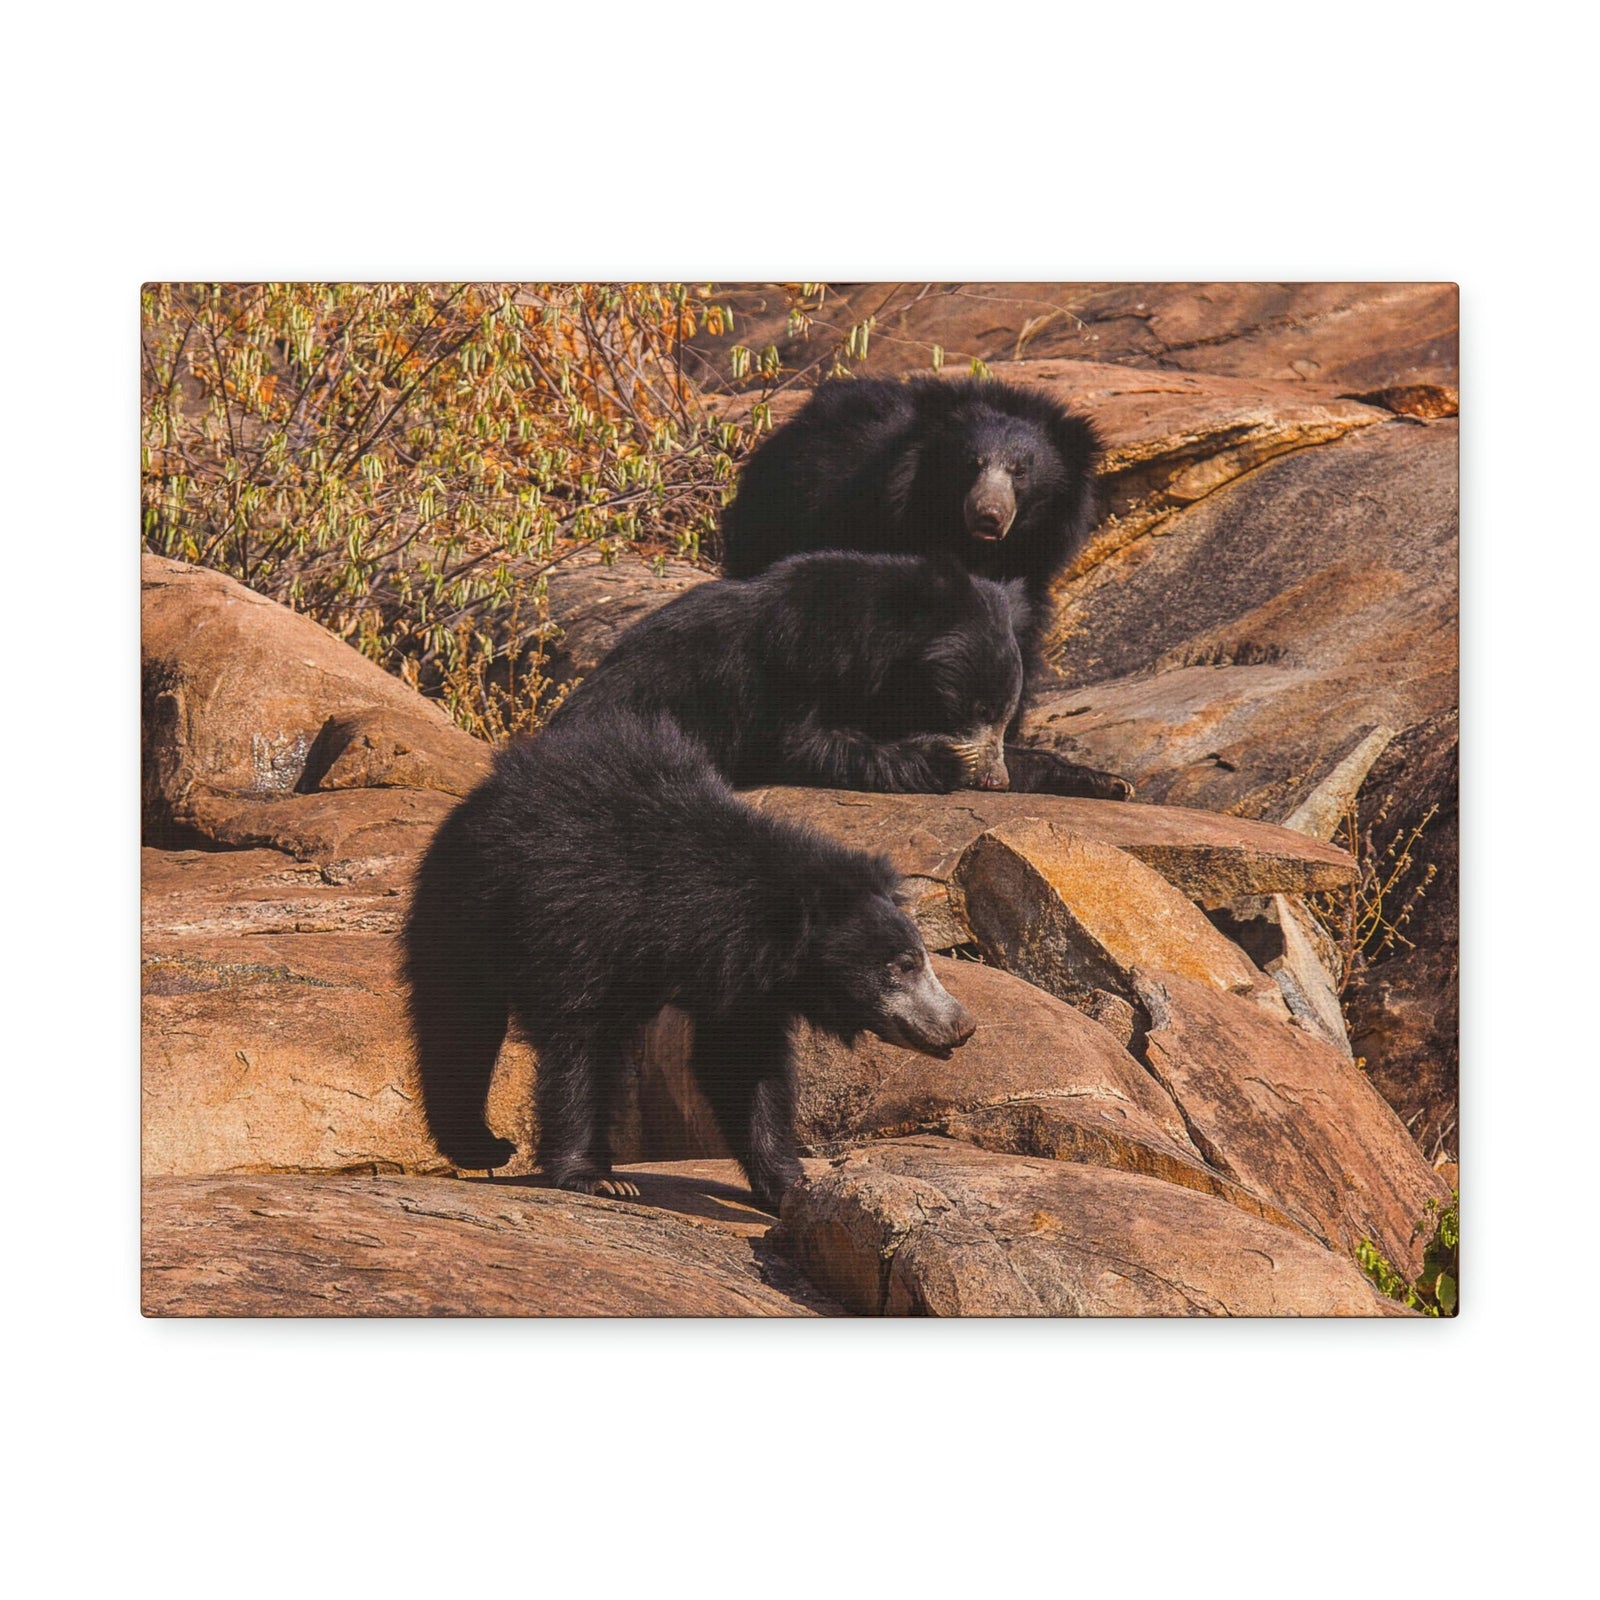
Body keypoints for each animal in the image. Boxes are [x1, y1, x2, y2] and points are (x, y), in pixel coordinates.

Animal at [402, 710, 976, 1209]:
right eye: (902, 966)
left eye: (919, 959)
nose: (962, 1026)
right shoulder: (578, 922)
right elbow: (580, 1044)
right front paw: (599, 1179)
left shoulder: (746, 982)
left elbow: (743, 1065)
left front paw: (787, 1184)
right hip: (468, 904)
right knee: (459, 1022)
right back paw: (481, 1144)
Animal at [548, 550, 1029, 794]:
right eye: (980, 710)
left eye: (1007, 718)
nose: (997, 781)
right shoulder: (791, 662)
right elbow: (798, 744)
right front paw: (949, 759)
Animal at [717, 375, 1132, 799]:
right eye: (972, 464)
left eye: (1020, 471)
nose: (988, 515)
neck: (970, 544)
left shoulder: (1031, 564)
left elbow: (1017, 640)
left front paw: (1100, 778)